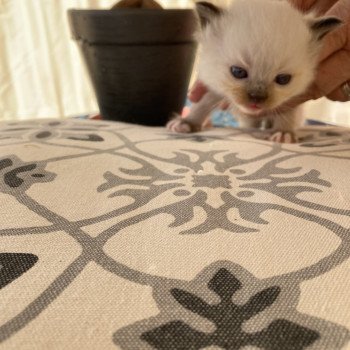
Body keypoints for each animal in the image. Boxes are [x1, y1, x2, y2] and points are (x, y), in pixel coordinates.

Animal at [167, 0, 342, 143]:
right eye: (238, 72)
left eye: (283, 79)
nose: (256, 99)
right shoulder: (217, 88)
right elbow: (203, 104)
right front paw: (186, 123)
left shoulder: (293, 98)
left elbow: (288, 113)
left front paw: (283, 132)